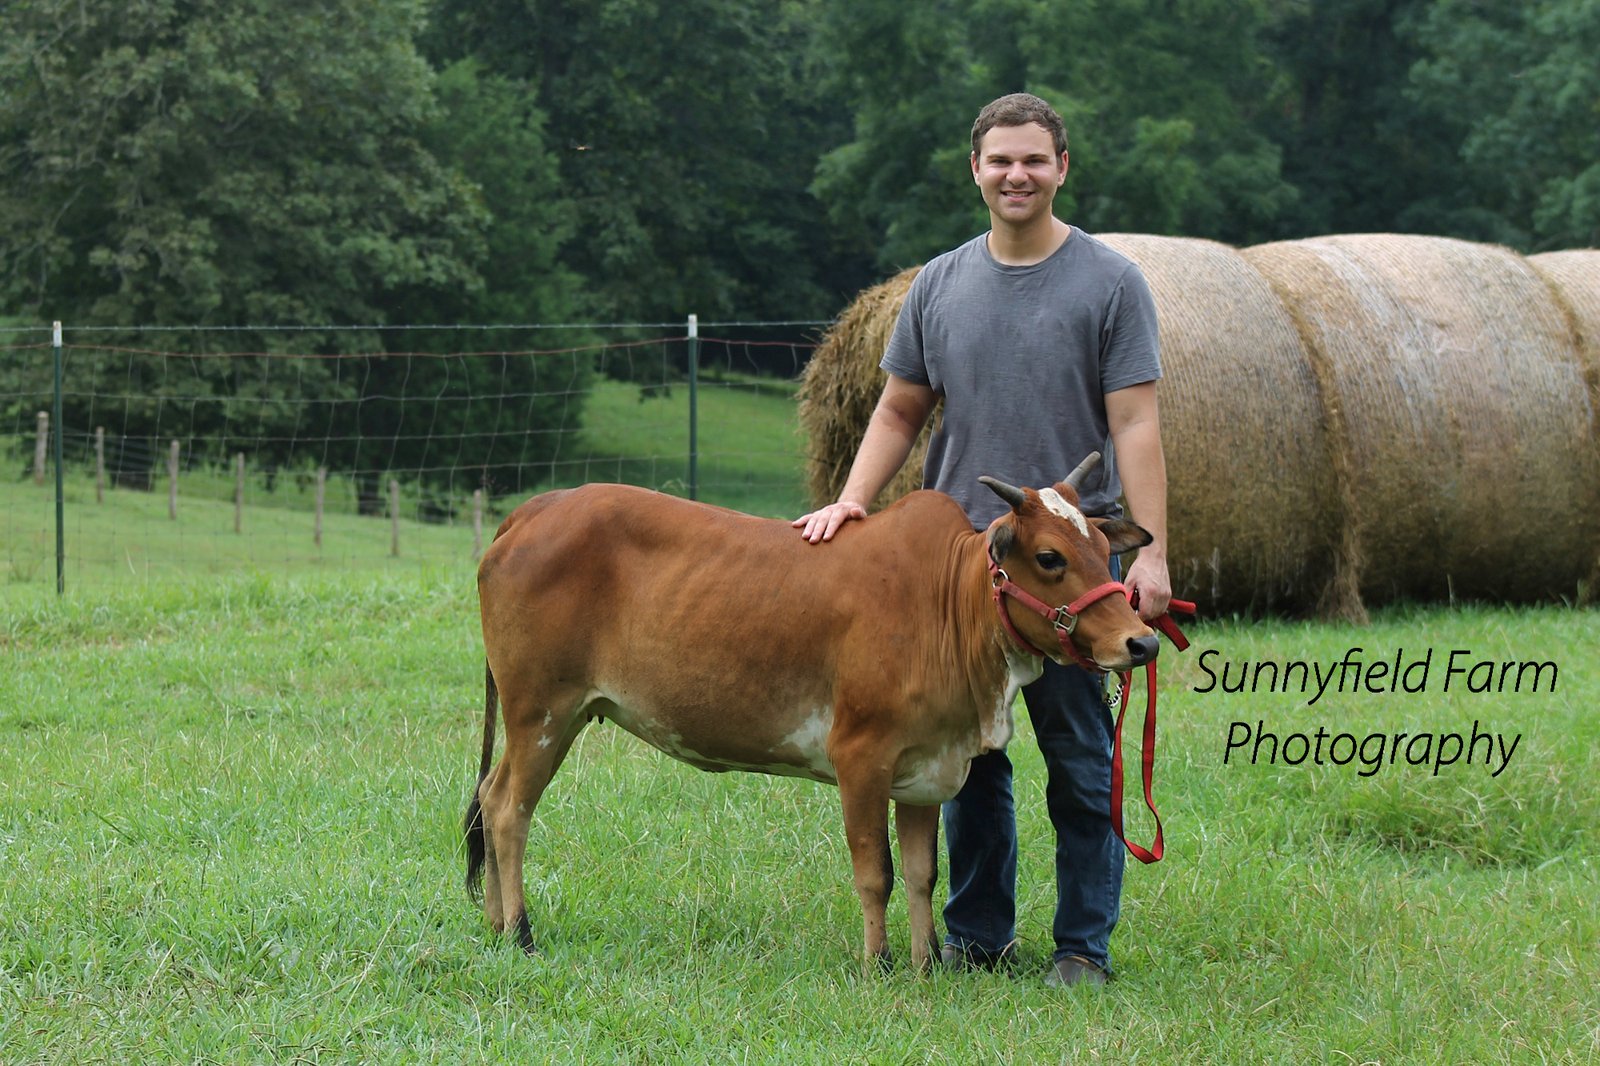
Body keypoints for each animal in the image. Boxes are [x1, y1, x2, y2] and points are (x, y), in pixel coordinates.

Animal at [463, 453, 1159, 973]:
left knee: (490, 794)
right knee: (507, 809)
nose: (1141, 642)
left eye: (1102, 545)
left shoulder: (926, 770)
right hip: (541, 712)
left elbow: (922, 873)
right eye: (1049, 557)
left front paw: (925, 963)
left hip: (551, 716)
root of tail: (535, 508)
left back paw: (496, 926)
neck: (948, 604)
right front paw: (880, 964)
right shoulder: (861, 757)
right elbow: (875, 872)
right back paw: (520, 932)